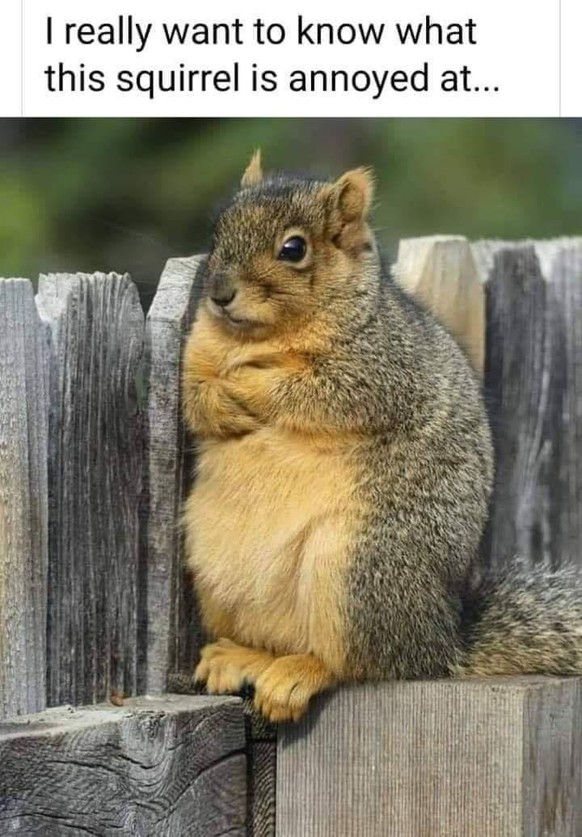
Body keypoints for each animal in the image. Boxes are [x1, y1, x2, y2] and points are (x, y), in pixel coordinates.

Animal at [181, 152, 582, 724]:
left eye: (293, 248)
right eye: (217, 230)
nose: (218, 294)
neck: (259, 338)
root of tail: (440, 643)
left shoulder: (381, 367)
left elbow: (315, 392)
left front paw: (248, 384)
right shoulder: (195, 354)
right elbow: (194, 397)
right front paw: (221, 401)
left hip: (356, 571)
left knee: (358, 664)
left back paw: (298, 674)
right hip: (215, 572)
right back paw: (242, 656)